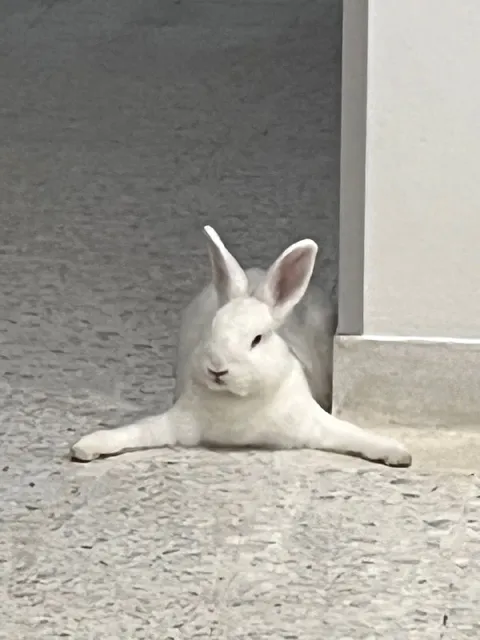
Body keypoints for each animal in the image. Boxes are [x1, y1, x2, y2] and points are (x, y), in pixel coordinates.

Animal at [71, 225, 412, 467]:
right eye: (211, 330)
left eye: (257, 339)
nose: (217, 370)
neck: (238, 403)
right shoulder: (178, 422)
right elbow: (134, 431)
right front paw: (86, 446)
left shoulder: (312, 422)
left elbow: (355, 435)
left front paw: (398, 453)